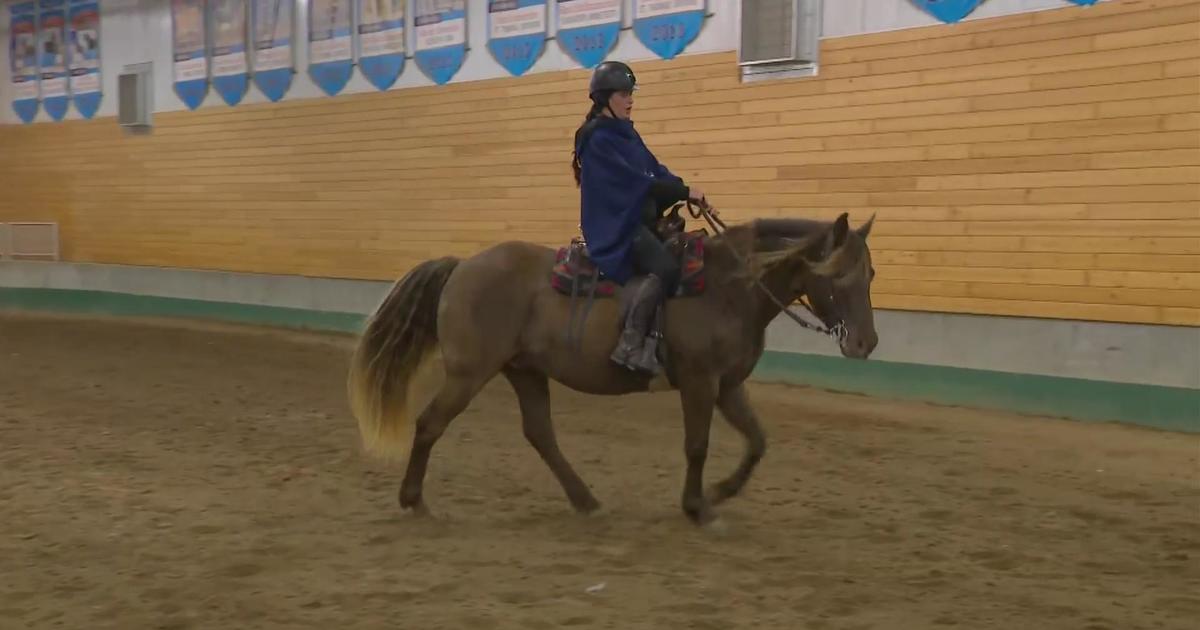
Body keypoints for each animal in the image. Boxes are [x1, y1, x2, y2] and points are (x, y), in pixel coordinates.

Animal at [343, 211, 878, 525]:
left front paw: (721, 492)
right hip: (468, 374)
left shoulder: (727, 386)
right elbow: (698, 445)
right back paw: (413, 500)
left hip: (524, 370)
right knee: (430, 424)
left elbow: (757, 441)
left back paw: (585, 500)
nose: (865, 342)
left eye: (870, 273)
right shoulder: (700, 383)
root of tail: (463, 266)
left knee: (540, 433)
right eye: (836, 273)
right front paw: (696, 506)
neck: (729, 287)